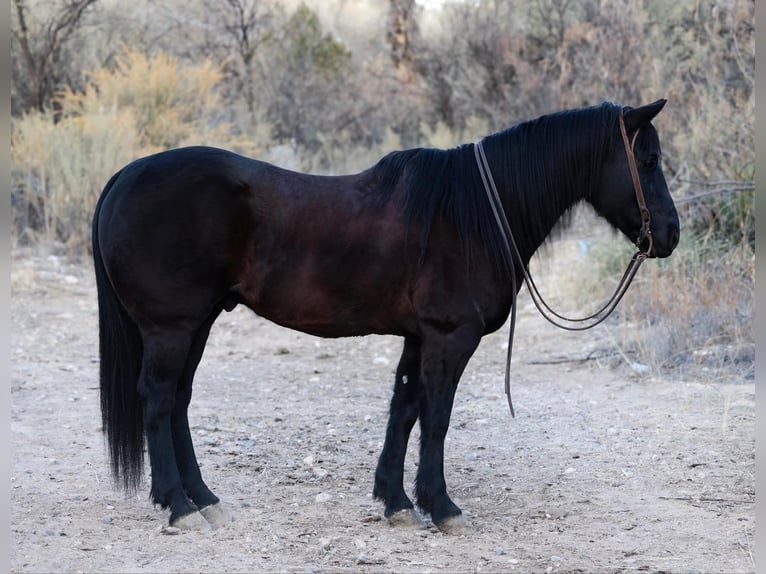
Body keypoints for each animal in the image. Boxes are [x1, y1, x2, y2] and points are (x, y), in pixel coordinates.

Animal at [92, 99, 680, 533]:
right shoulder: (449, 338)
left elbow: (405, 410)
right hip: (172, 328)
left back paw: (204, 498)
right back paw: (179, 506)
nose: (670, 235)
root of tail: (125, 175)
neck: (473, 213)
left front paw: (395, 501)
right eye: (648, 161)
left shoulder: (419, 339)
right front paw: (441, 507)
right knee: (159, 400)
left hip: (198, 323)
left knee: (179, 401)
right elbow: (437, 417)